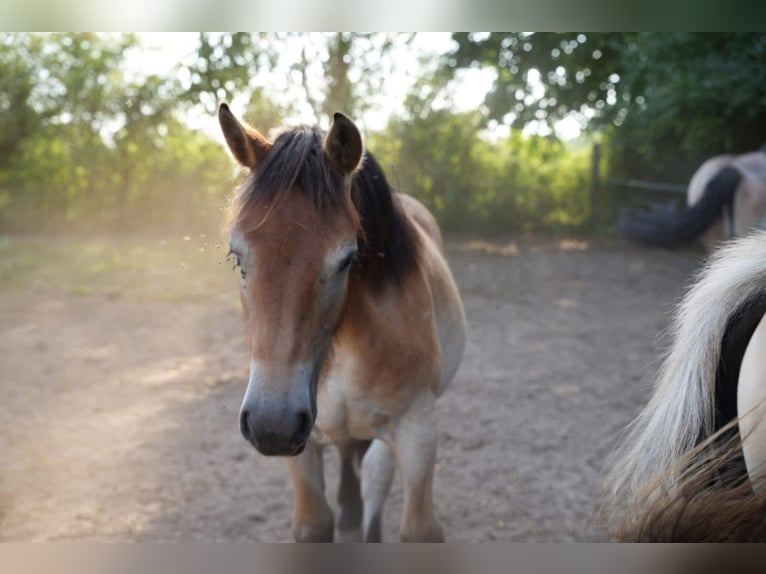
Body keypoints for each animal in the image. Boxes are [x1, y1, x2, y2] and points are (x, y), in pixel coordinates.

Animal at [217, 103, 467, 542]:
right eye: (237, 257)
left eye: (347, 258)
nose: (272, 423)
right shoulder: (304, 446)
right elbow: (315, 524)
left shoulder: (418, 429)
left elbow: (417, 525)